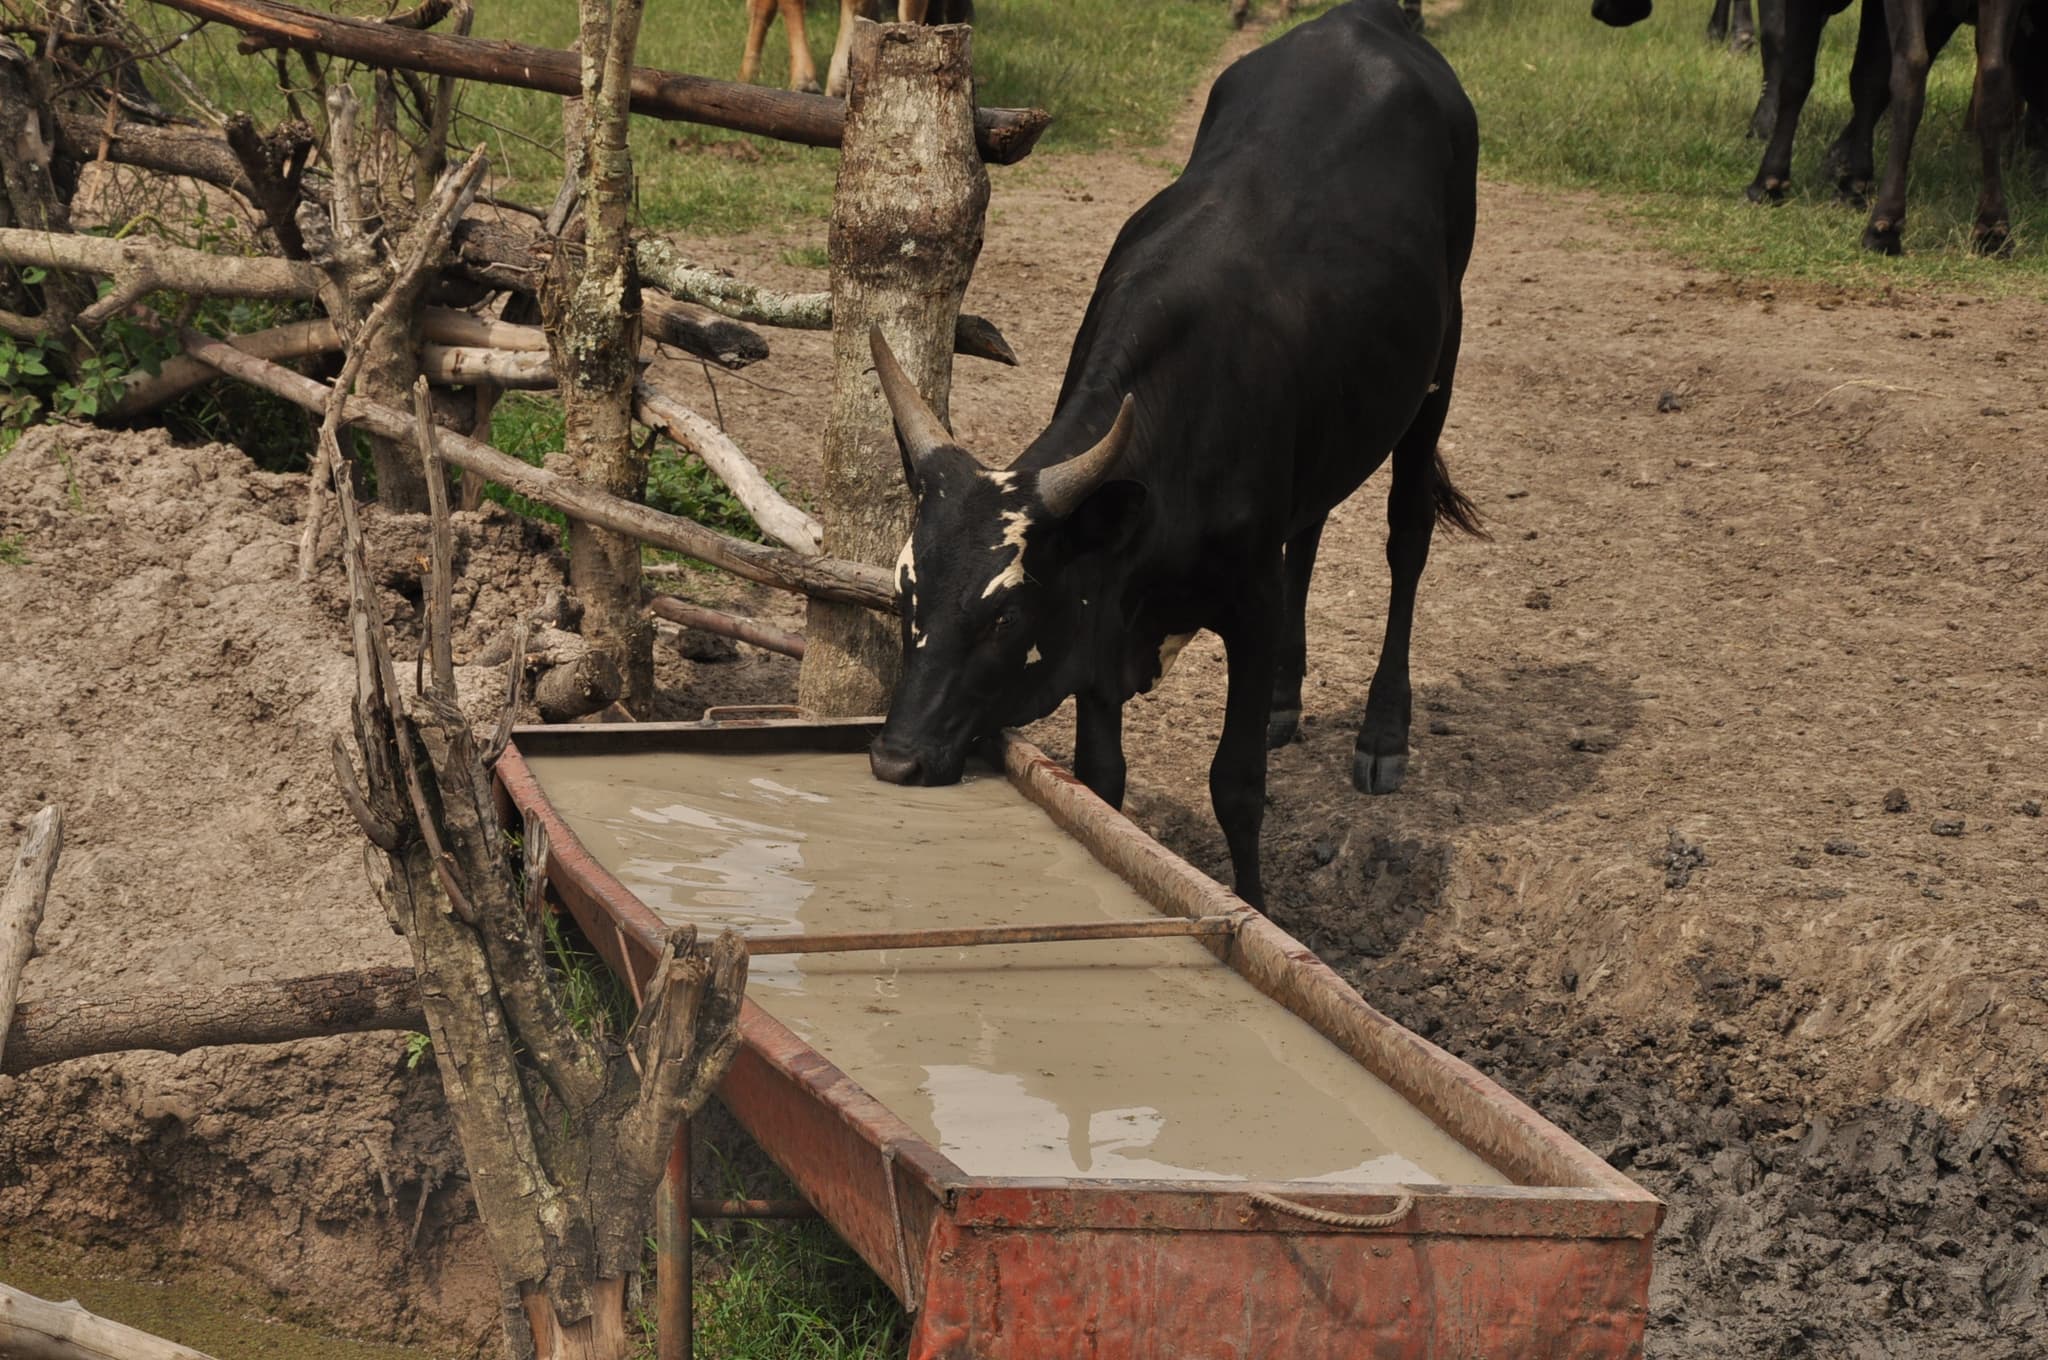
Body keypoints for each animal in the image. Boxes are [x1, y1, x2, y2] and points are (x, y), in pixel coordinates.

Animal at [864, 0, 1481, 908]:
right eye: (907, 591)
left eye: (1006, 614)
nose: (895, 759)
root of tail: (1371, 17)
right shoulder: (1102, 616)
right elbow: (1101, 779)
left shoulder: (1248, 606)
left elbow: (1237, 785)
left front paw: (1253, 905)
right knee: (1312, 528)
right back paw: (1288, 699)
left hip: (1437, 372)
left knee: (1407, 538)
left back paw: (1383, 730)